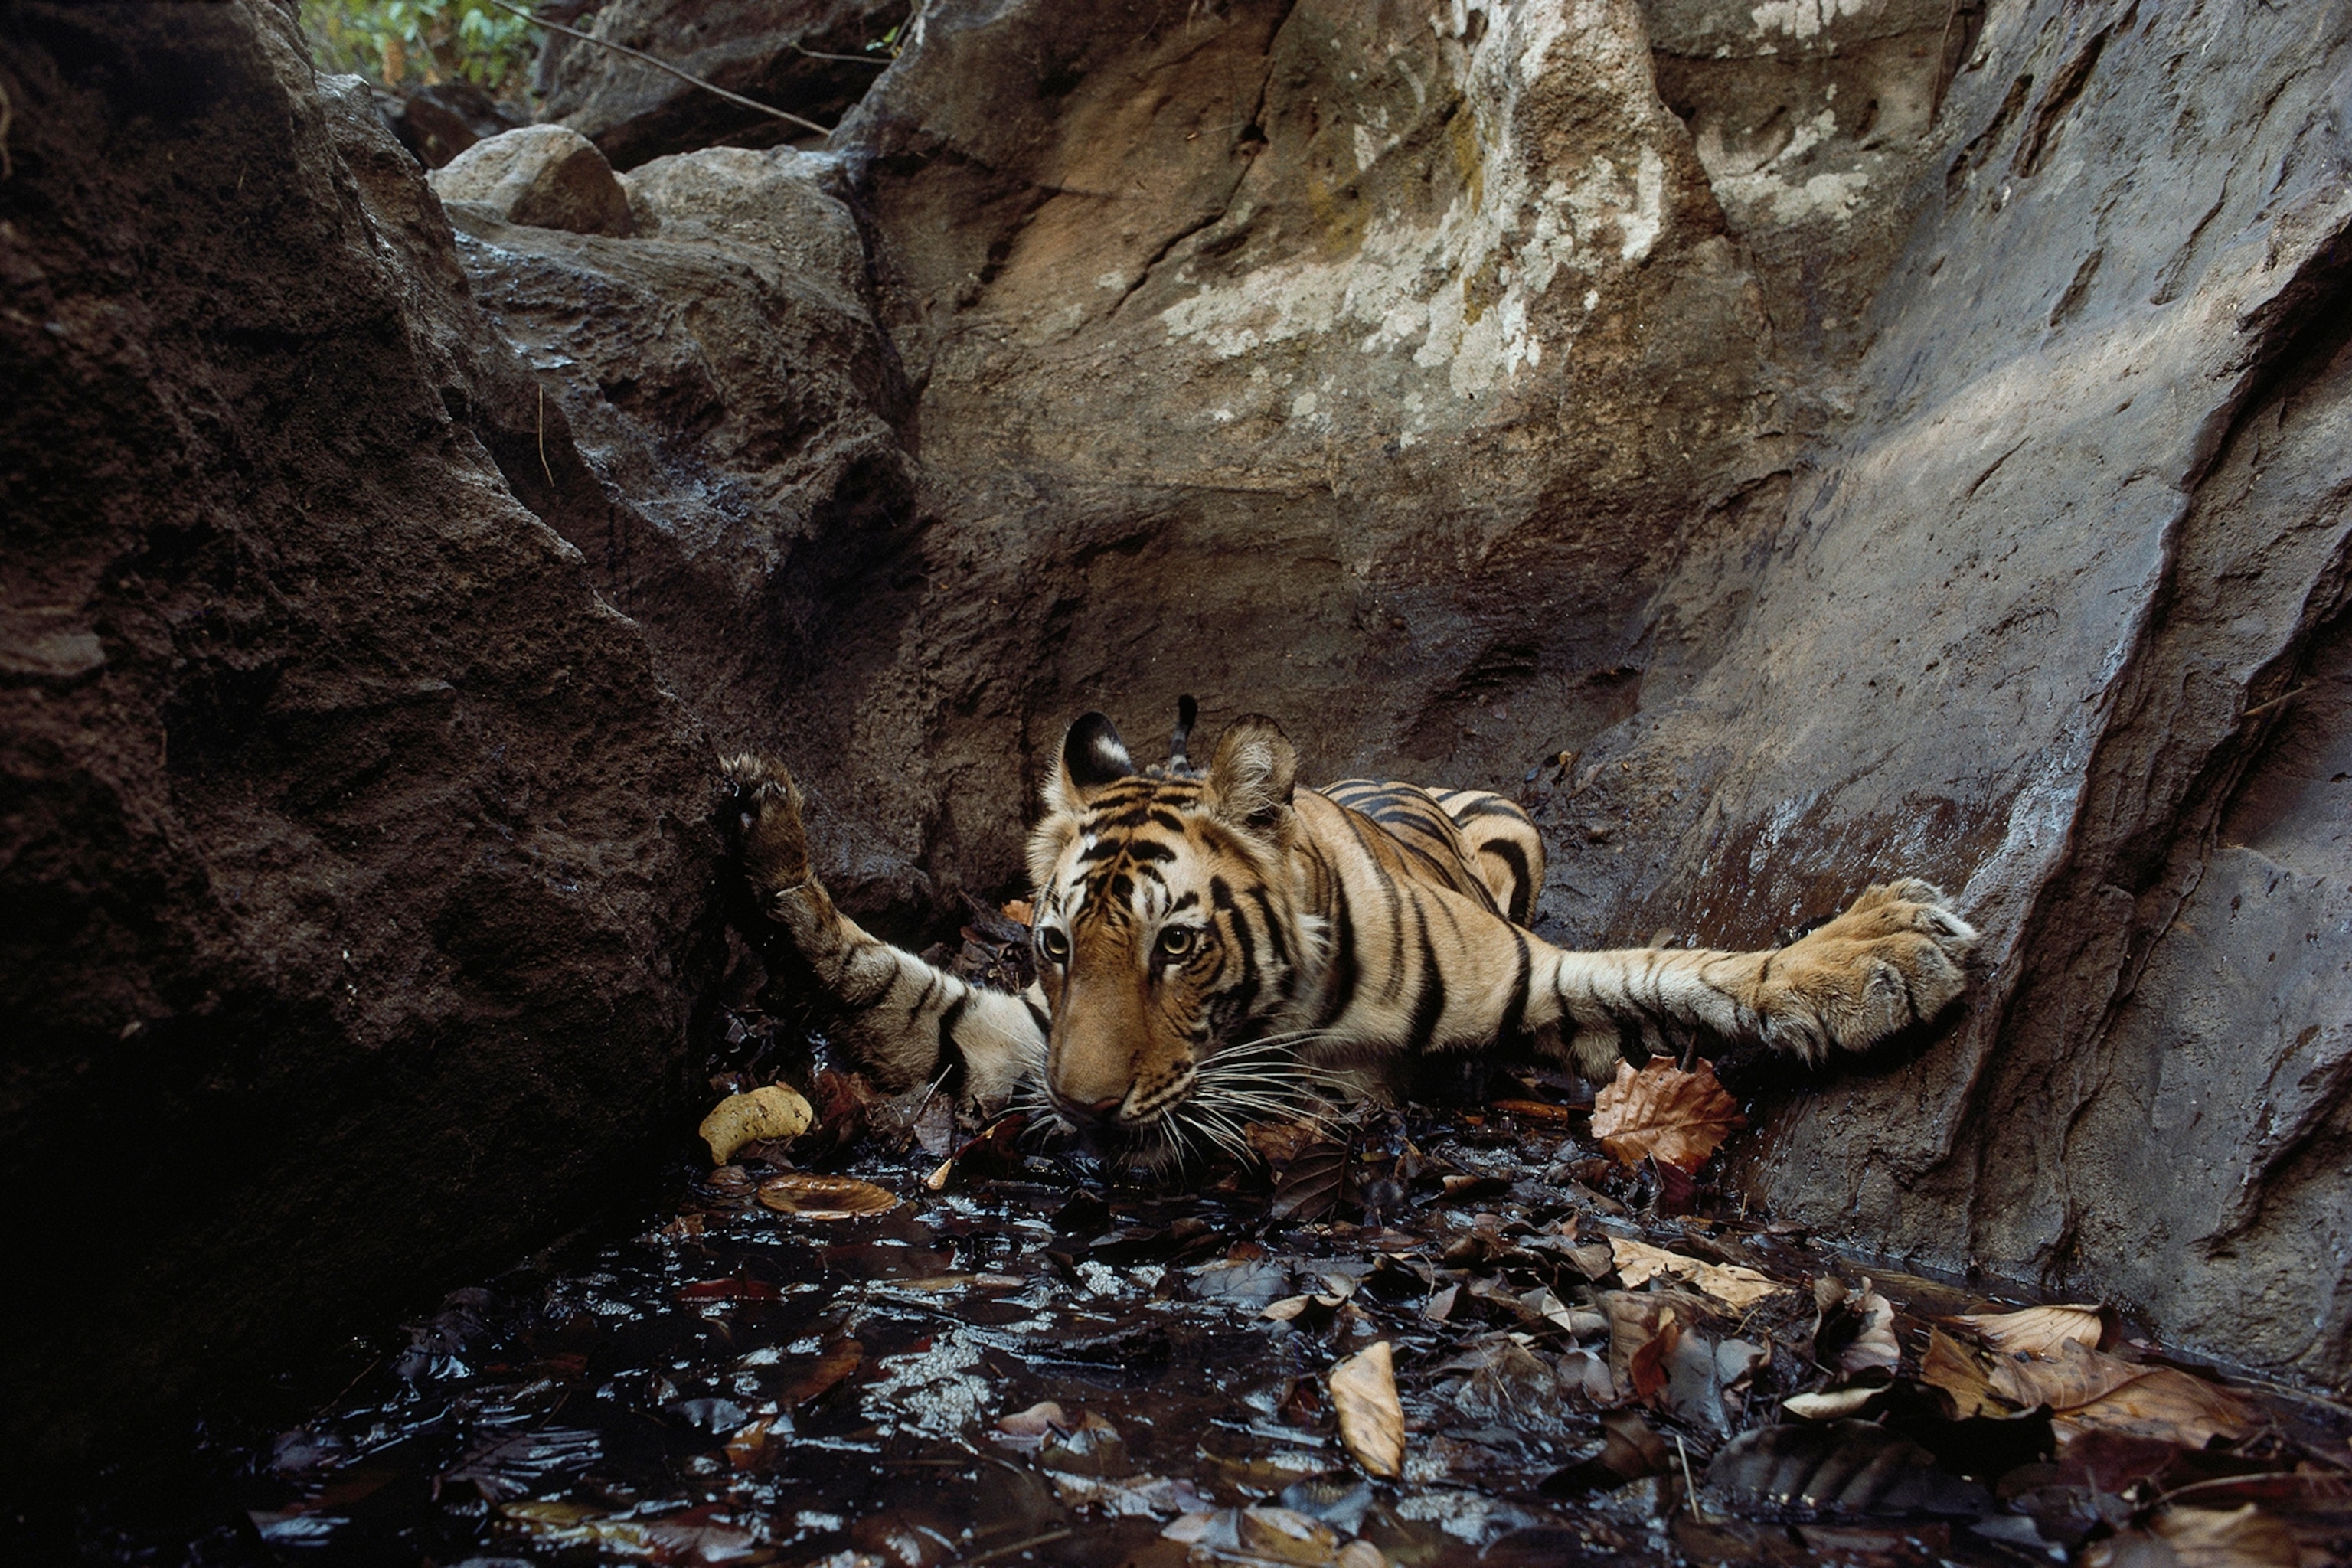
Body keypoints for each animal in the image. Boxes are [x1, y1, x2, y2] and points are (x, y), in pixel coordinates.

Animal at [721, 705, 1977, 1166]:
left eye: (1176, 945)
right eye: (1058, 946)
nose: (1079, 1111)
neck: (1285, 1007)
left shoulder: (1537, 976)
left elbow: (1678, 968)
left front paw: (1885, 950)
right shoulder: (1019, 1038)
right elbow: (891, 983)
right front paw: (764, 836)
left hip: (1516, 838)